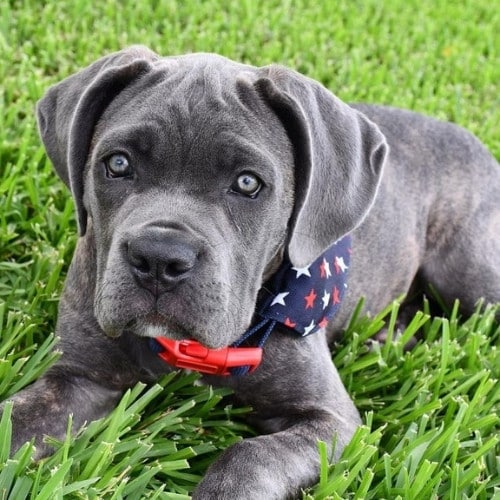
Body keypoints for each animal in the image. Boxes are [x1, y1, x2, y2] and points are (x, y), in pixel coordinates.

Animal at [1, 45, 498, 498]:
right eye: (117, 163)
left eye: (247, 183)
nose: (160, 258)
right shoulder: (79, 379)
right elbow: (16, 416)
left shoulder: (331, 420)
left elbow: (250, 456)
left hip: (472, 278)